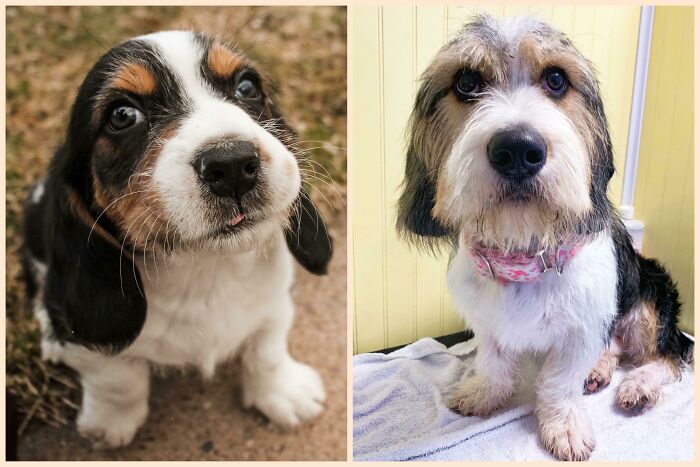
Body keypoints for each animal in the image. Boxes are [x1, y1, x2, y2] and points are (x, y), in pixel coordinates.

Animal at [23, 30, 334, 450]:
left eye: (247, 87)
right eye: (122, 116)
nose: (232, 164)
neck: (205, 269)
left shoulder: (274, 302)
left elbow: (266, 348)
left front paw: (283, 393)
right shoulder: (94, 349)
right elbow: (118, 379)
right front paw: (111, 425)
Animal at [396, 13, 692, 460]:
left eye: (556, 79)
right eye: (466, 81)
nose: (518, 150)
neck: (524, 252)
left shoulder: (581, 329)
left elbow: (559, 384)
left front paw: (563, 427)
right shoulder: (488, 322)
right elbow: (494, 363)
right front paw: (484, 394)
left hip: (650, 299)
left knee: (668, 357)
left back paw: (637, 385)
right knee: (616, 348)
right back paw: (600, 369)